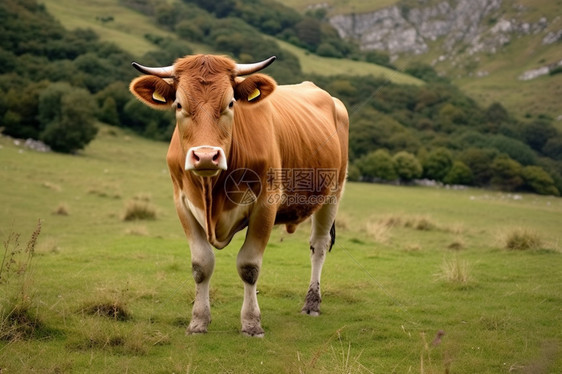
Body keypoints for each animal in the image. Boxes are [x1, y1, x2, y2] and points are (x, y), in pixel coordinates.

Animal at [129, 53, 346, 336]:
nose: (206, 156)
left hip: (334, 192)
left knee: (319, 245)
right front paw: (198, 321)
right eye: (178, 104)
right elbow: (201, 265)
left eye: (230, 103)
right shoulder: (182, 202)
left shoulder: (266, 203)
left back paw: (312, 303)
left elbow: (249, 266)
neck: (212, 190)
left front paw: (251, 323)